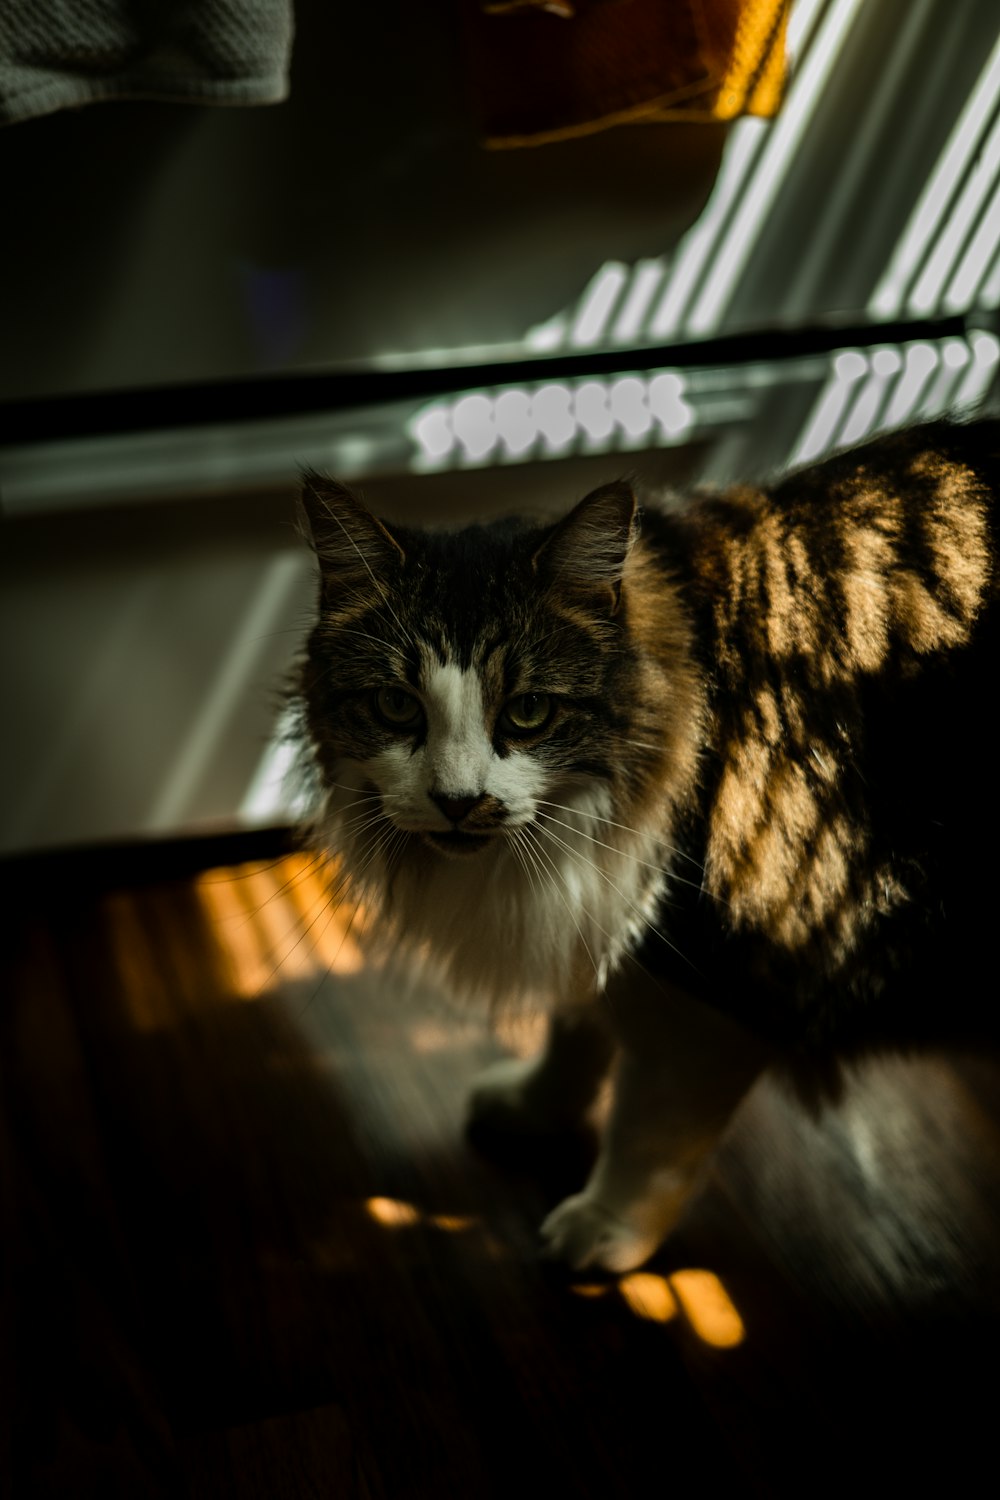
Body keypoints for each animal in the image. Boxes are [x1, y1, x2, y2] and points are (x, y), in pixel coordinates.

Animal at [295, 417, 1000, 1272]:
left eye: (528, 711)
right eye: (397, 706)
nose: (458, 803)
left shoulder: (715, 981)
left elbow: (650, 1128)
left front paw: (602, 1229)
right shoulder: (593, 918)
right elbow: (575, 1028)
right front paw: (532, 1107)